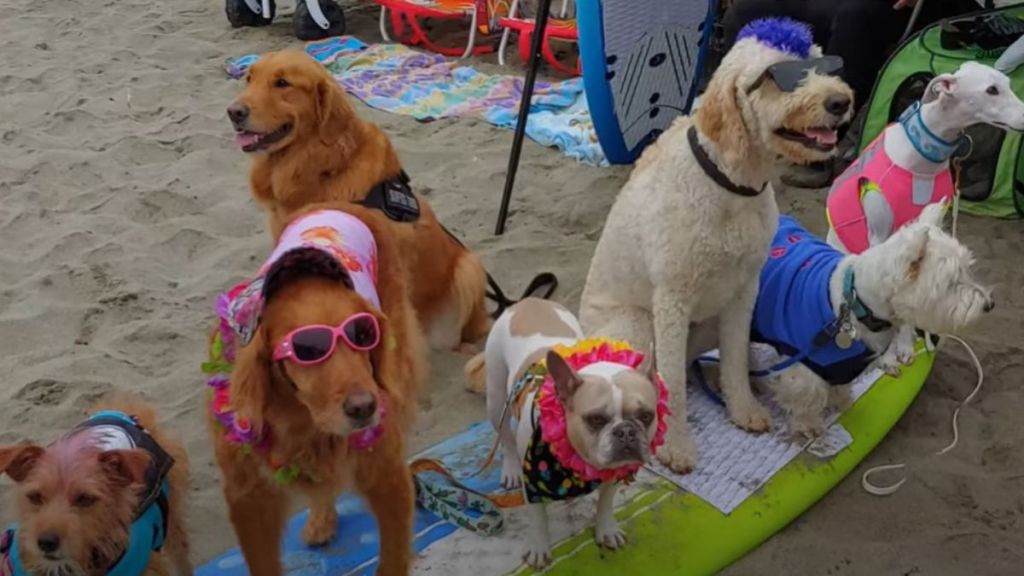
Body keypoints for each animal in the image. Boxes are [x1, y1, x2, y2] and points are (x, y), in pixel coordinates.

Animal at [823, 60, 1024, 368]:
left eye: (1007, 84)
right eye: (991, 90)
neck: (923, 156)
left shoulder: (932, 223)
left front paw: (910, 341)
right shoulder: (880, 234)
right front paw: (900, 347)